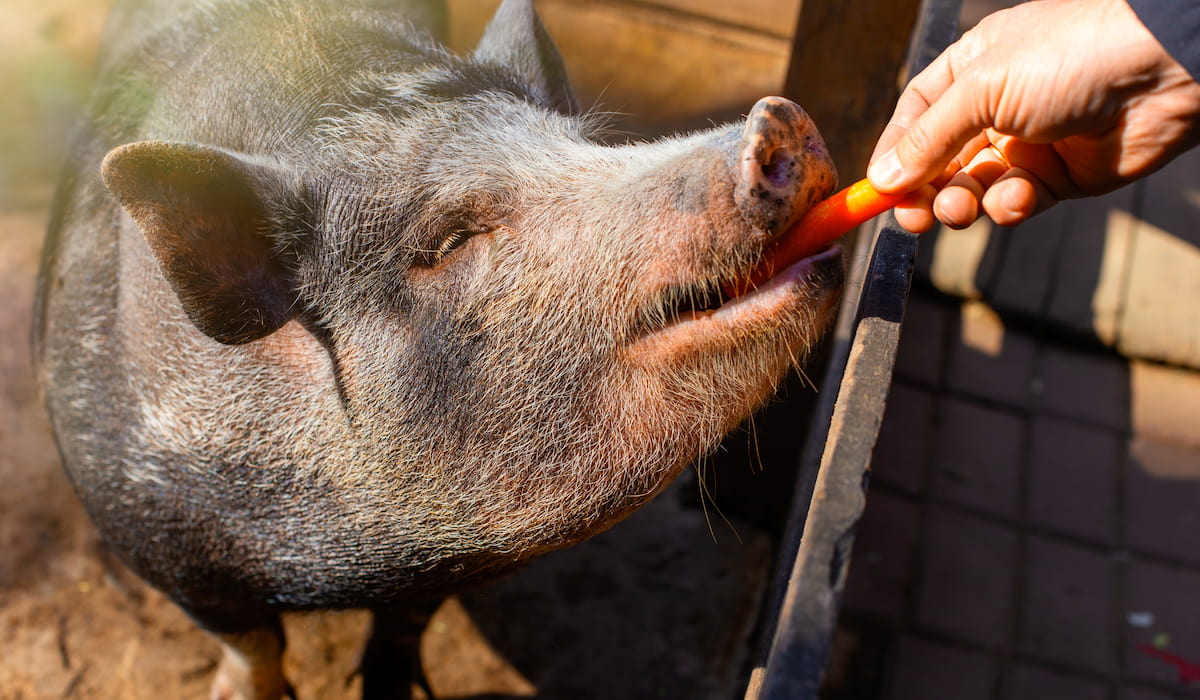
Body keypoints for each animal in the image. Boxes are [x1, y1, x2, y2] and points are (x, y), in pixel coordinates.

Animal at [32, 0, 842, 697]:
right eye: (449, 239)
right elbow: (252, 642)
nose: (775, 118)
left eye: (581, 145)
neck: (351, 563)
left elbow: (404, 628)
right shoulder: (144, 528)